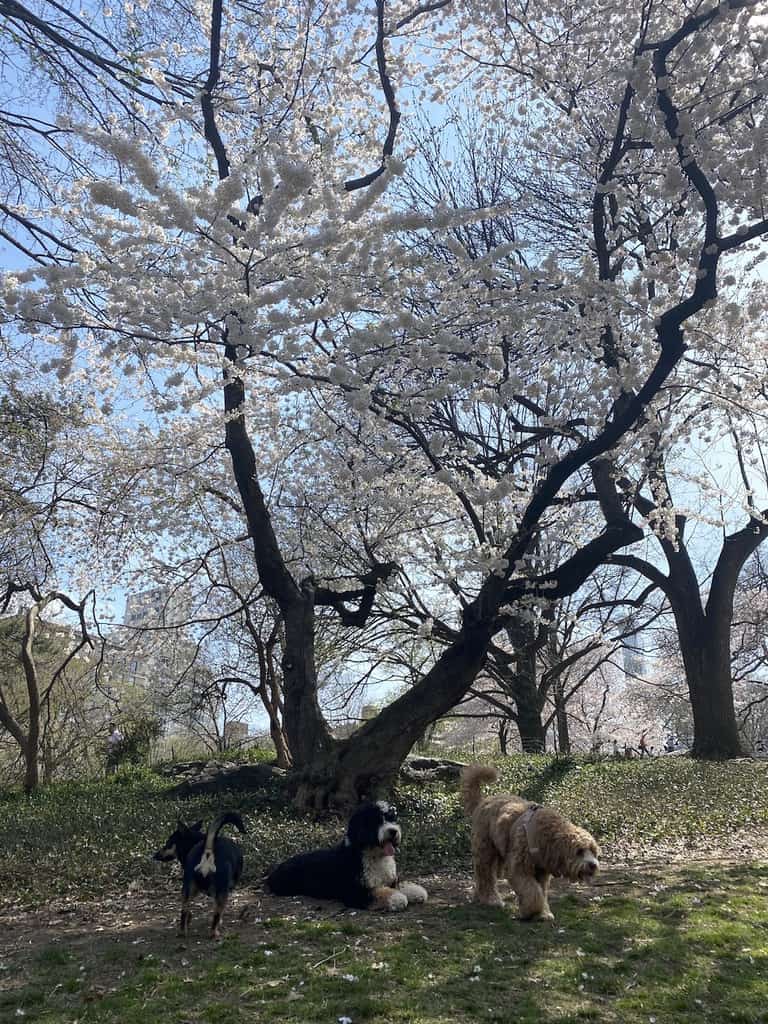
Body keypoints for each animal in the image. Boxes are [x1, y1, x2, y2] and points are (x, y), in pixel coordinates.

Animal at [268, 798, 430, 913]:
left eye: (391, 818)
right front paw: (397, 898)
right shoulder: (355, 893)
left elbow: (399, 885)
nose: (393, 831)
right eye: (375, 821)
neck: (373, 855)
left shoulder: (390, 881)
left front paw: (415, 891)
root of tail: (274, 871)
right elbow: (380, 893)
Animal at [462, 761, 602, 921]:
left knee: (482, 877)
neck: (546, 835)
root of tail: (483, 801)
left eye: (593, 852)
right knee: (485, 876)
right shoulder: (520, 868)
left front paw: (543, 913)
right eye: (579, 851)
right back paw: (491, 899)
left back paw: (479, 897)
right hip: (485, 851)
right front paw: (531, 911)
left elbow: (541, 892)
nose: (593, 865)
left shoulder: (541, 872)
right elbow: (532, 891)